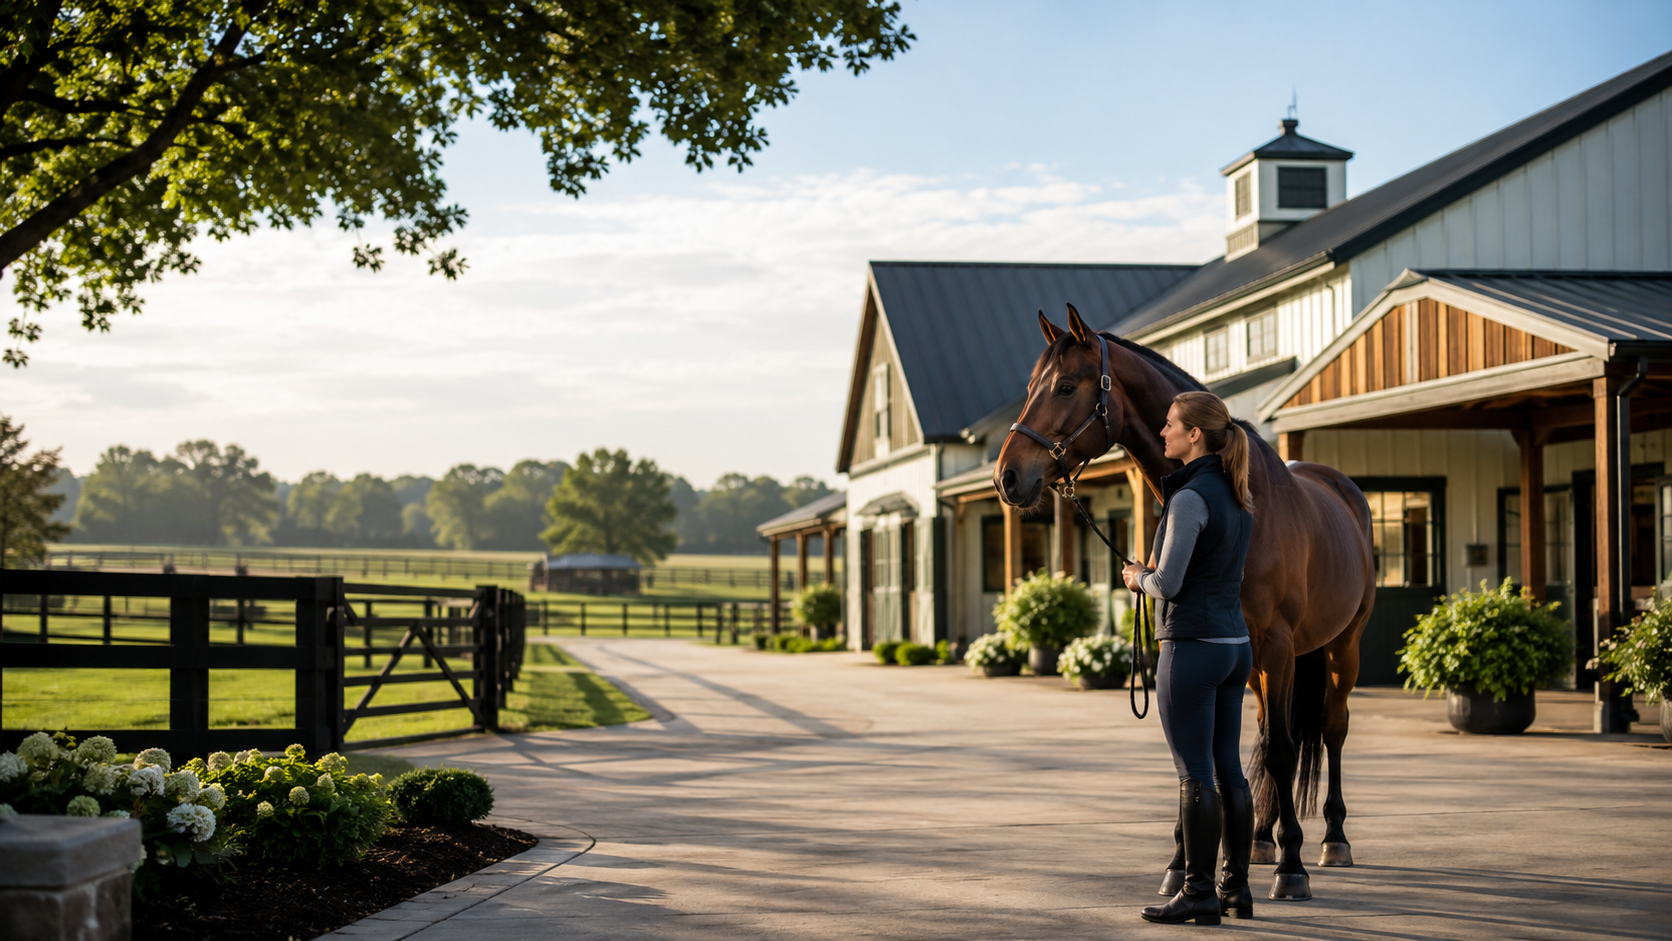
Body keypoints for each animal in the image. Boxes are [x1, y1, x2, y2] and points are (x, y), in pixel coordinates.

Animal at [994, 303, 1375, 901]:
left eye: (1066, 386)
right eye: (1032, 387)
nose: (1006, 477)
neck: (1248, 500)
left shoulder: (1278, 646)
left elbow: (1283, 749)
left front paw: (1292, 868)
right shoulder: (1220, 650)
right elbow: (1212, 752)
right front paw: (1188, 863)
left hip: (1342, 647)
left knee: (1330, 729)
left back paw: (1332, 839)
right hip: (1261, 667)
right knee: (1265, 733)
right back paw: (1260, 839)